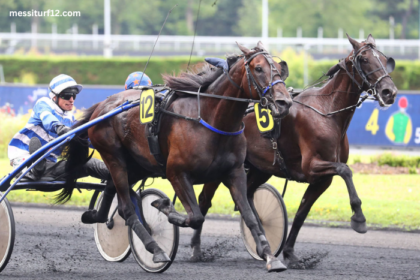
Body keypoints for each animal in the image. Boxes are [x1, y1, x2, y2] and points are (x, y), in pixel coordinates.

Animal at [60, 42, 292, 272]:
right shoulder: (176, 172)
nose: (284, 102)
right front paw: (164, 207)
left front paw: (270, 256)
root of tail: (101, 106)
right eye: (258, 68)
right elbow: (196, 216)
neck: (210, 120)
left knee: (111, 188)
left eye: (279, 69)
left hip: (138, 164)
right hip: (113, 156)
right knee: (126, 208)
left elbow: (250, 216)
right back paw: (155, 249)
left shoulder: (234, 173)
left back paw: (95, 216)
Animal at [192, 33, 398, 266]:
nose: (389, 92)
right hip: (222, 167)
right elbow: (345, 170)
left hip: (260, 168)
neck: (327, 112)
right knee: (205, 200)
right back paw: (196, 249)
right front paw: (359, 218)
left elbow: (301, 213)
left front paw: (290, 253)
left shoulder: (322, 179)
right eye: (364, 59)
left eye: (384, 59)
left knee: (248, 194)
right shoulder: (312, 166)